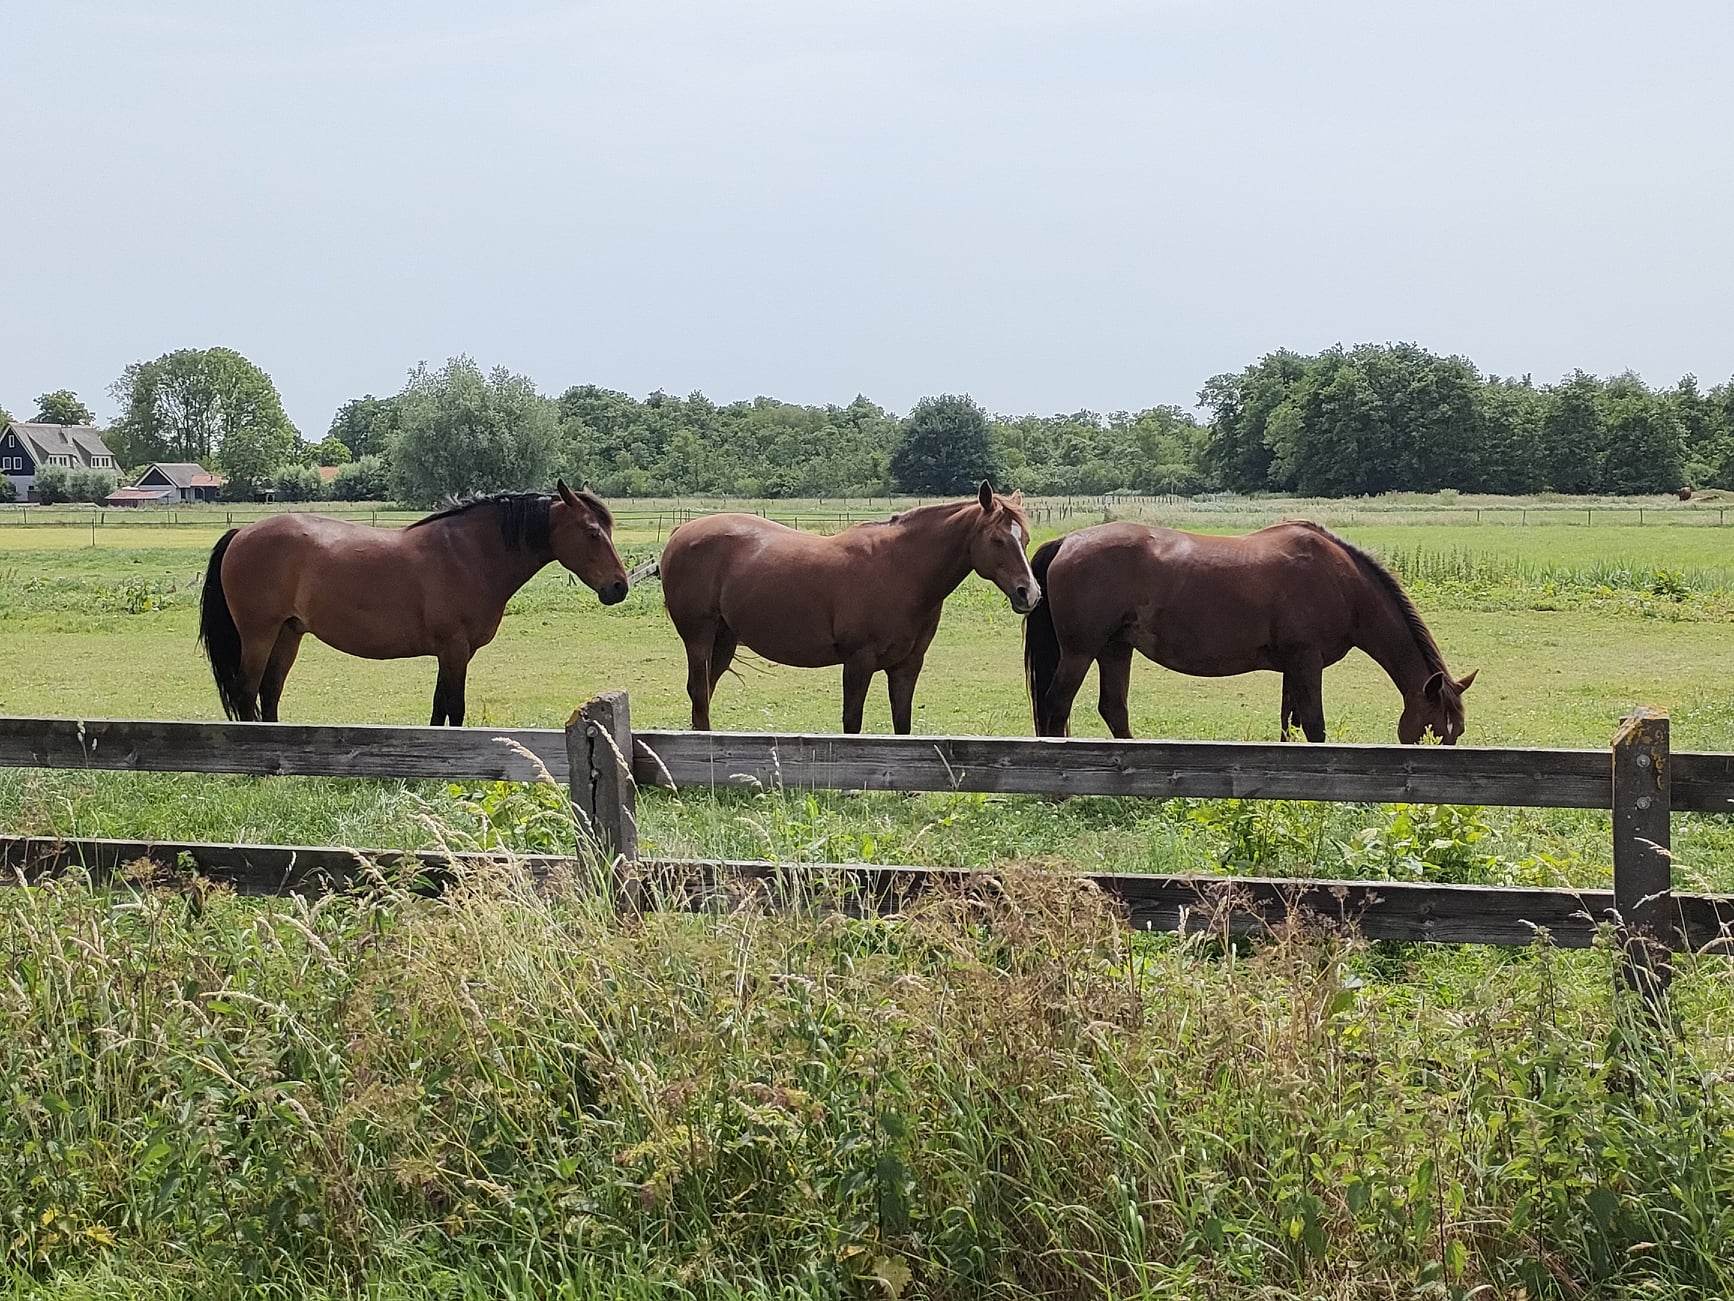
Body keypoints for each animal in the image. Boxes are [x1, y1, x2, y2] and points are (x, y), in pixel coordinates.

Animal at [198, 482, 629, 725]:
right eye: (592, 532)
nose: (618, 587)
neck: (468, 554)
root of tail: (242, 533)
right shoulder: (454, 650)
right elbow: (454, 707)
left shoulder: (451, 653)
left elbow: (440, 708)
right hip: (259, 634)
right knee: (246, 692)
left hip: (288, 634)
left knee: (269, 692)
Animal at [660, 482, 1039, 733]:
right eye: (997, 539)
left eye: (1025, 539)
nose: (1029, 594)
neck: (901, 570)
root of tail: (681, 531)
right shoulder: (859, 662)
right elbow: (852, 722)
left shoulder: (907, 665)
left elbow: (902, 723)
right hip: (698, 638)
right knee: (698, 692)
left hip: (724, 640)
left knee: (704, 693)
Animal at [1023, 520, 1476, 743]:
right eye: (1436, 728)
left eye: (1457, 731)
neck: (1342, 581)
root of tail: (1066, 542)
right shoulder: (1306, 662)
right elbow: (1314, 725)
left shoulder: (1294, 667)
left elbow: (1289, 724)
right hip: (1081, 652)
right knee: (1056, 705)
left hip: (1115, 649)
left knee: (1113, 710)